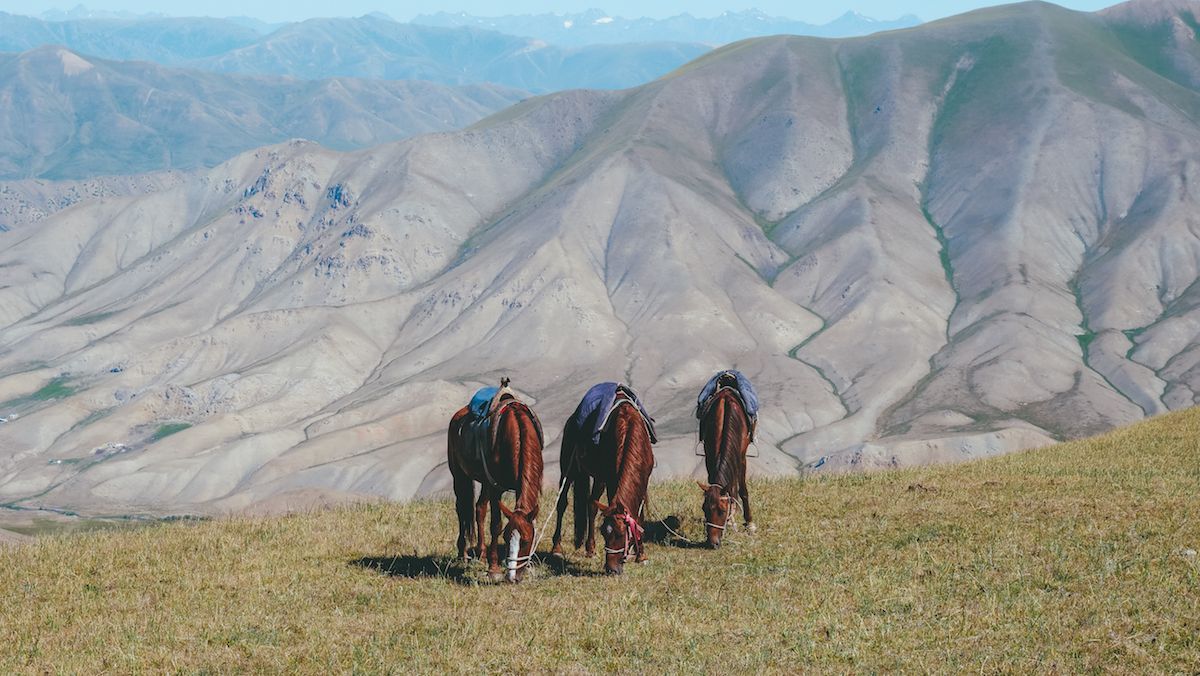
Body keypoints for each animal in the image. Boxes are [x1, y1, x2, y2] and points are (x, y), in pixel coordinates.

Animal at [447, 379, 544, 582]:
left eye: (526, 541)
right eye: (506, 539)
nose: (513, 577)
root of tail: (457, 415)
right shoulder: (496, 488)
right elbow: (496, 525)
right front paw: (494, 569)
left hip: (483, 482)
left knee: (479, 509)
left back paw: (481, 554)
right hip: (459, 476)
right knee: (462, 509)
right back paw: (463, 554)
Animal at [550, 382, 656, 575]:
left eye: (621, 534)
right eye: (604, 533)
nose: (612, 569)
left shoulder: (643, 481)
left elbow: (639, 515)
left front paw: (641, 554)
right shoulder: (612, 480)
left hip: (599, 478)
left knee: (591, 504)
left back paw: (590, 549)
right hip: (568, 469)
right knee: (562, 503)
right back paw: (557, 548)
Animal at [696, 371, 756, 548]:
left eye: (722, 511)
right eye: (704, 508)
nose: (713, 543)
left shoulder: (742, 457)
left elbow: (743, 490)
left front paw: (749, 523)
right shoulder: (709, 454)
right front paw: (731, 520)